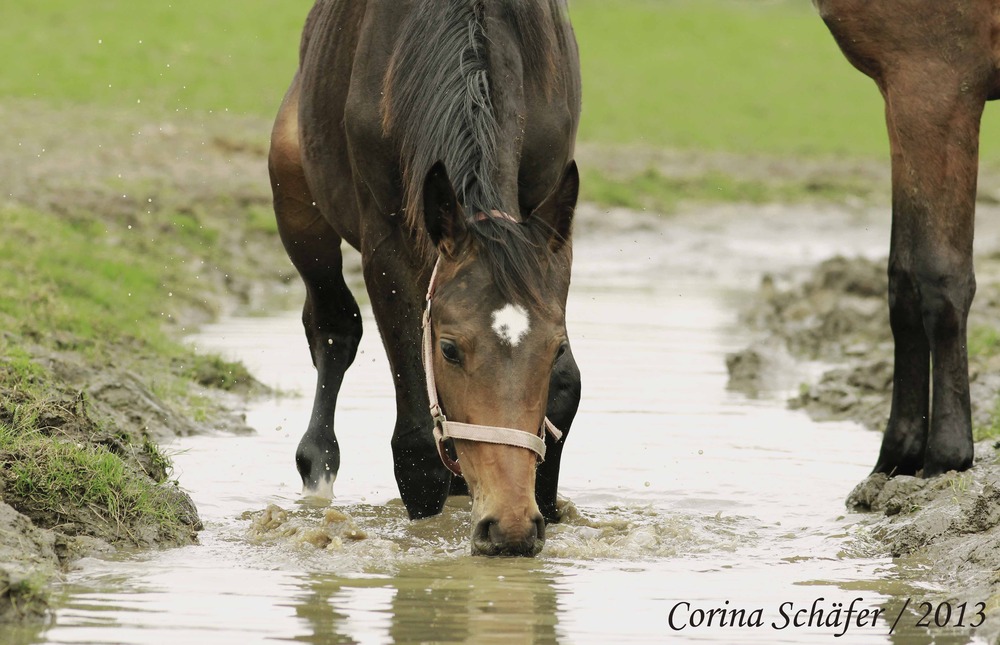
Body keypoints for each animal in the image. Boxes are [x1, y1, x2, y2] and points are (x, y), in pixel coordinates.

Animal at [268, 0, 580, 552]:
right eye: (449, 349)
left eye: (554, 347)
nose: (510, 527)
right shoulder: (387, 242)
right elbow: (416, 447)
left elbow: (564, 394)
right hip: (295, 198)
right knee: (333, 326)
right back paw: (317, 473)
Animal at [812, 1, 1000, 478]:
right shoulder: (898, 92)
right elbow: (903, 277)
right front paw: (898, 455)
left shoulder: (936, 83)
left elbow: (940, 273)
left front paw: (947, 454)